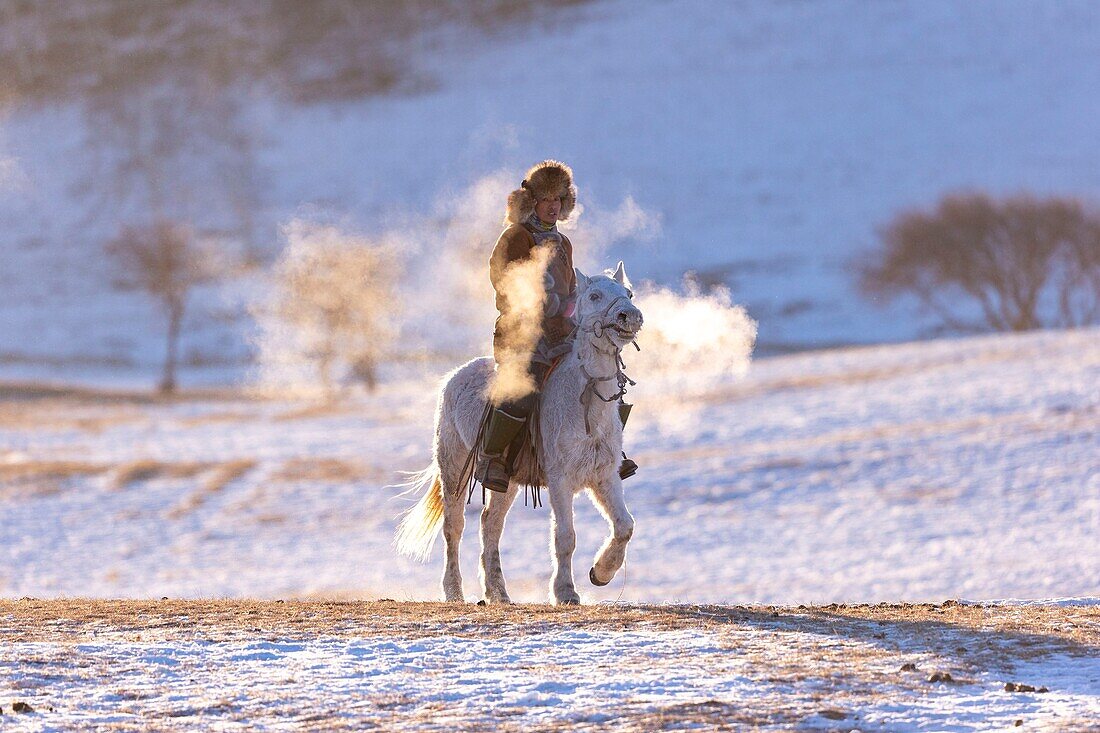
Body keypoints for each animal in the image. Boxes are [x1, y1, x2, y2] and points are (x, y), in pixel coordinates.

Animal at [396, 259, 642, 603]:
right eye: (594, 296)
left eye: (628, 293)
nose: (629, 316)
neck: (585, 403)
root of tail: (455, 376)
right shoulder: (560, 480)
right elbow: (565, 536)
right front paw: (565, 592)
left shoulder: (605, 477)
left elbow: (624, 526)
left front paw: (601, 572)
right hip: (453, 468)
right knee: (453, 527)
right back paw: (454, 591)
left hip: (506, 480)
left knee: (490, 524)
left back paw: (498, 592)